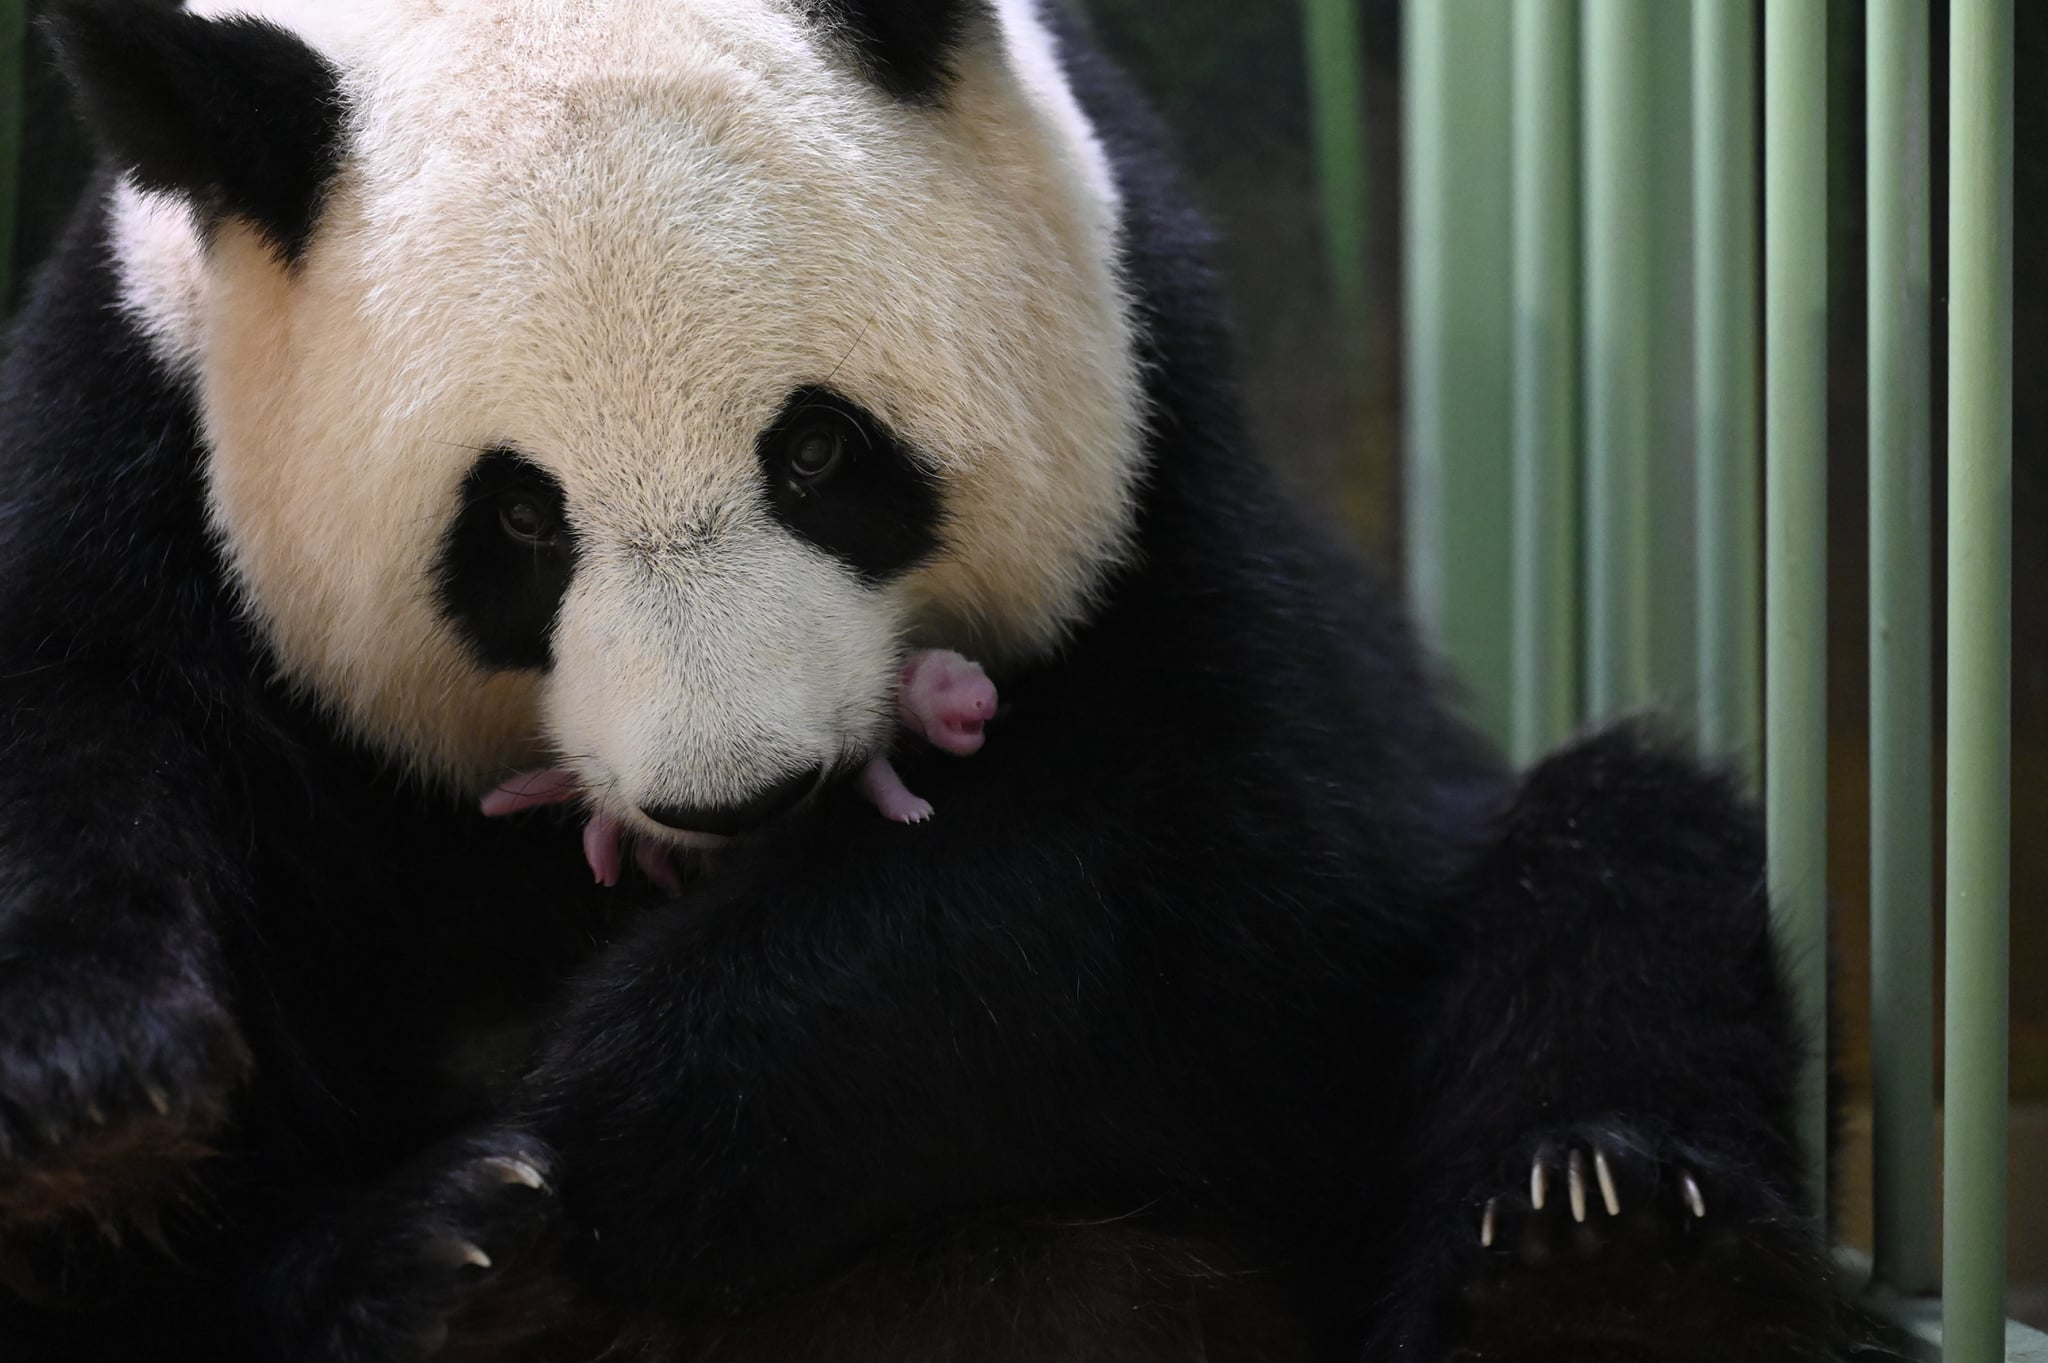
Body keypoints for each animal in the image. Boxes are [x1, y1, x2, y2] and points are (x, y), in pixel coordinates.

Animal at [0, 0, 1851, 1350]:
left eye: (820, 450)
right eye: (514, 518)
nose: (738, 796)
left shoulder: (1156, 430)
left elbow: (1173, 860)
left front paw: (565, 1163)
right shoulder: (148, 423)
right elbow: (78, 710)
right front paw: (113, 1104)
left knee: (1616, 862)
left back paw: (1600, 1262)